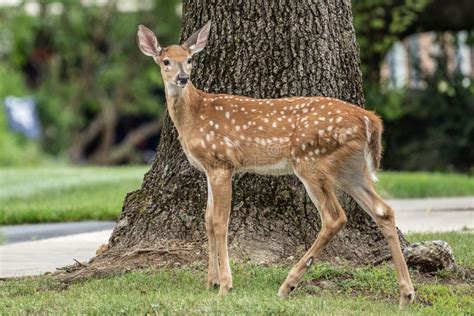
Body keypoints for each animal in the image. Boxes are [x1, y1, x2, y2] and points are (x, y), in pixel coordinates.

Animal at [136, 21, 414, 306]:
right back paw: (406, 294)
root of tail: (370, 119)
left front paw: (225, 285)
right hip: (350, 168)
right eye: (166, 61)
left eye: (189, 60)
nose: (182, 78)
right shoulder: (209, 168)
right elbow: (208, 219)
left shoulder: (221, 162)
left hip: (310, 161)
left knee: (334, 217)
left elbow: (221, 222)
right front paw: (210, 282)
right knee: (383, 210)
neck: (194, 116)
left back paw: (287, 285)